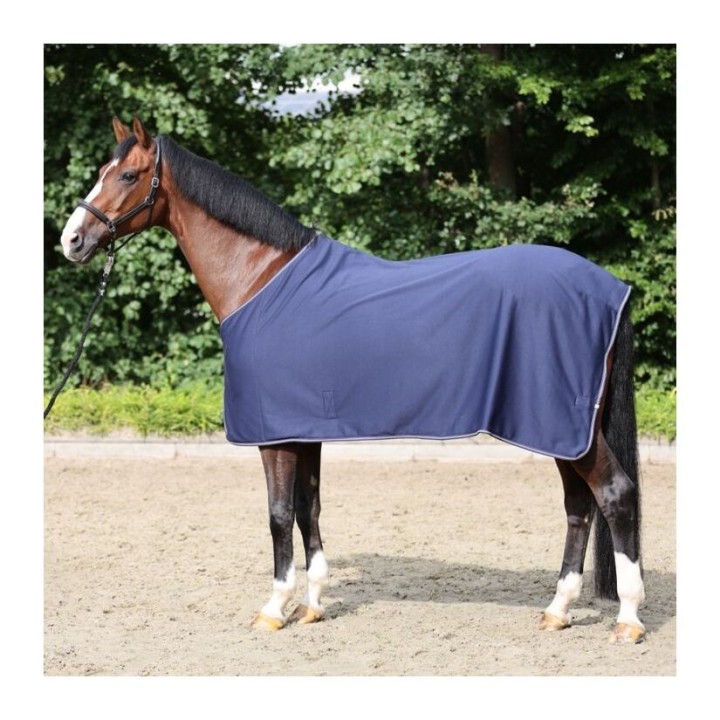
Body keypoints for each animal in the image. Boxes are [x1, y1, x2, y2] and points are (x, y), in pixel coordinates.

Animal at [57, 116, 645, 643]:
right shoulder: (303, 429)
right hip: (563, 430)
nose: (72, 240)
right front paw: (313, 605)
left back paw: (628, 619)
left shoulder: (274, 435)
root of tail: (611, 287)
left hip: (567, 426)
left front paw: (274, 608)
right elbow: (307, 509)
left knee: (614, 495)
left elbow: (278, 515)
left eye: (127, 175)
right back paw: (558, 611)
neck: (262, 280)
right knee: (579, 508)